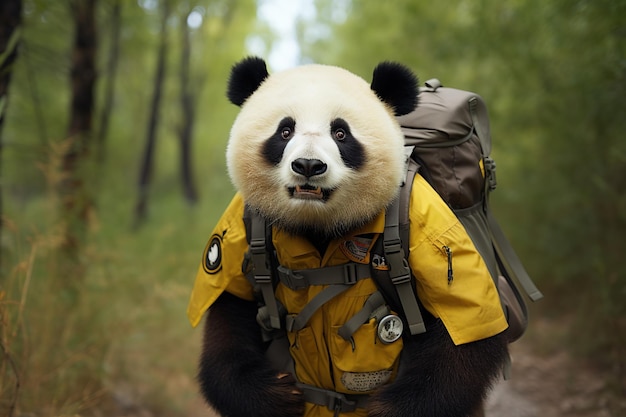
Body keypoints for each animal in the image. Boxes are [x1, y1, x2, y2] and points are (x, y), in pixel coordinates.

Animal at [188, 56, 510, 416]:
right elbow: (229, 310)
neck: (319, 225)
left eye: (341, 133)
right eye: (285, 131)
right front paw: (277, 396)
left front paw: (384, 409)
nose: (308, 165)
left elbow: (465, 328)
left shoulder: (427, 220)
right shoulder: (240, 222)